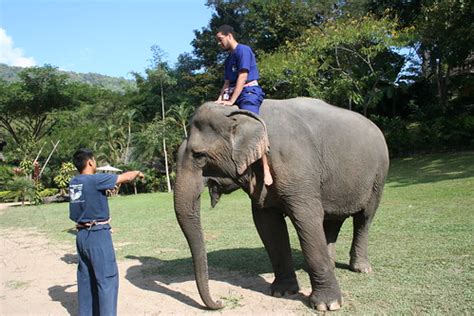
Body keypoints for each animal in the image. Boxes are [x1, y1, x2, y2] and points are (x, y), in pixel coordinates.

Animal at [174, 97, 388, 310]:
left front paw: (328, 305)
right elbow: (267, 224)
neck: (241, 113)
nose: (220, 302)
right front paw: (282, 292)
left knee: (364, 218)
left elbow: (307, 218)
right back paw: (331, 264)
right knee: (332, 221)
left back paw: (361, 268)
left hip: (379, 176)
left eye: (199, 155)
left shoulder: (296, 166)